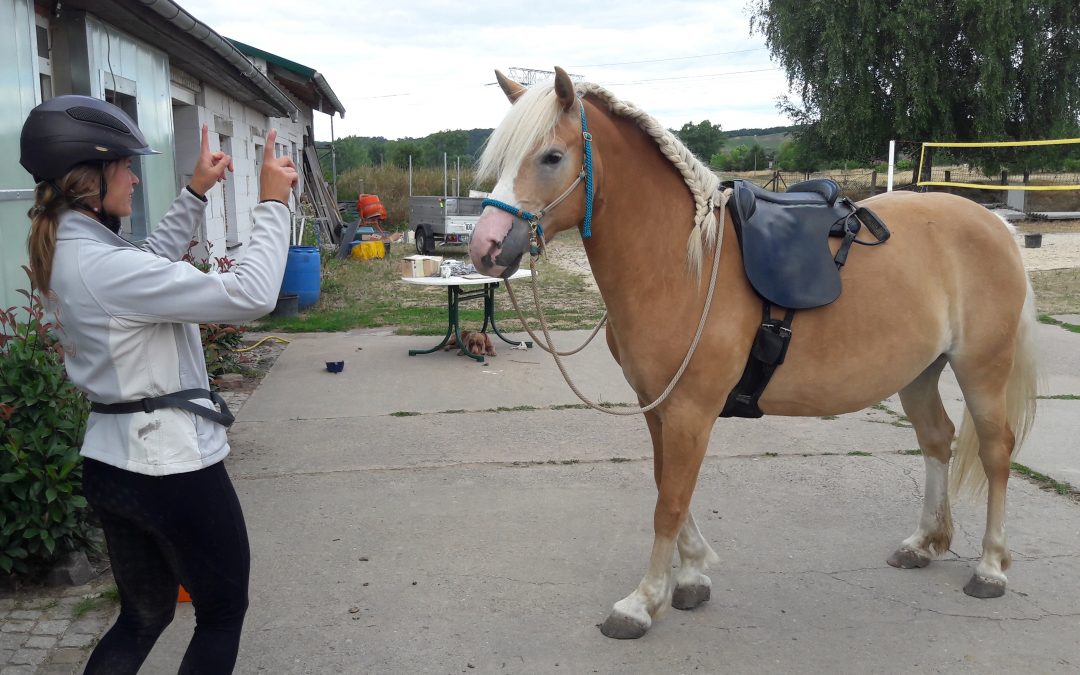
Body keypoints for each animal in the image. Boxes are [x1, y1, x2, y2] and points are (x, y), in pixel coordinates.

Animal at [466, 64, 1036, 635]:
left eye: (551, 157)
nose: (485, 247)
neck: (683, 265)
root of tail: (996, 225)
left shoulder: (690, 410)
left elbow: (670, 502)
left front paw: (643, 601)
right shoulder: (657, 406)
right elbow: (667, 486)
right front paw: (690, 576)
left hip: (980, 367)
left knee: (995, 451)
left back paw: (990, 568)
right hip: (919, 372)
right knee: (937, 439)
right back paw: (925, 543)